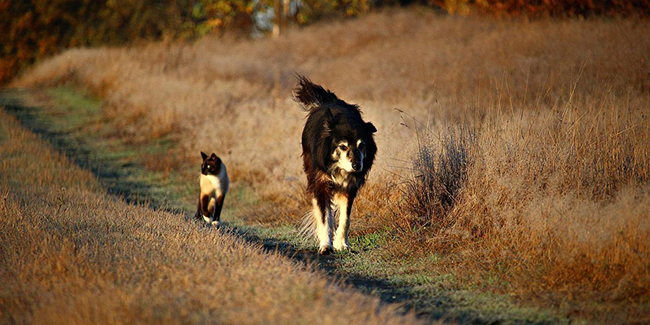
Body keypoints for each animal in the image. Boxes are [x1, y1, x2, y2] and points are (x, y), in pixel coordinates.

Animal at [292, 75, 374, 253]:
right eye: (343, 146)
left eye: (361, 145)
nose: (357, 166)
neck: (339, 167)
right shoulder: (321, 183)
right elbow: (324, 217)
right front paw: (326, 245)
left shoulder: (349, 187)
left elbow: (345, 218)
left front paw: (341, 244)